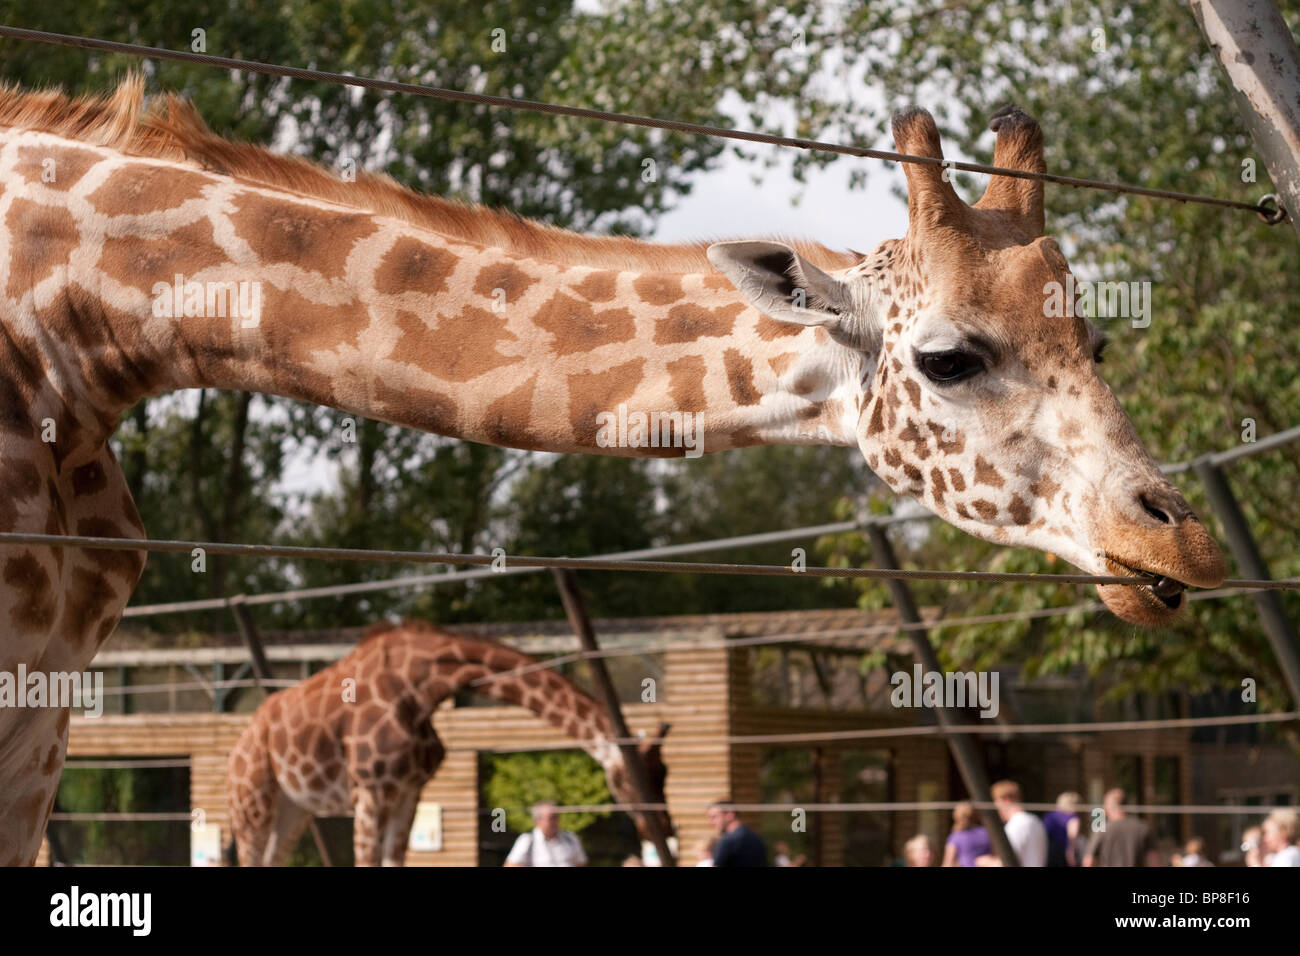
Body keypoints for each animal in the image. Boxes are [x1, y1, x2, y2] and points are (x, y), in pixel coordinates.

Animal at [227, 621, 670, 868]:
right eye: (631, 777)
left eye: (664, 773)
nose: (661, 826)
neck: (421, 687)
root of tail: (240, 744)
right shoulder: (370, 790)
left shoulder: (408, 792)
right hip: (253, 802)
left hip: (294, 808)